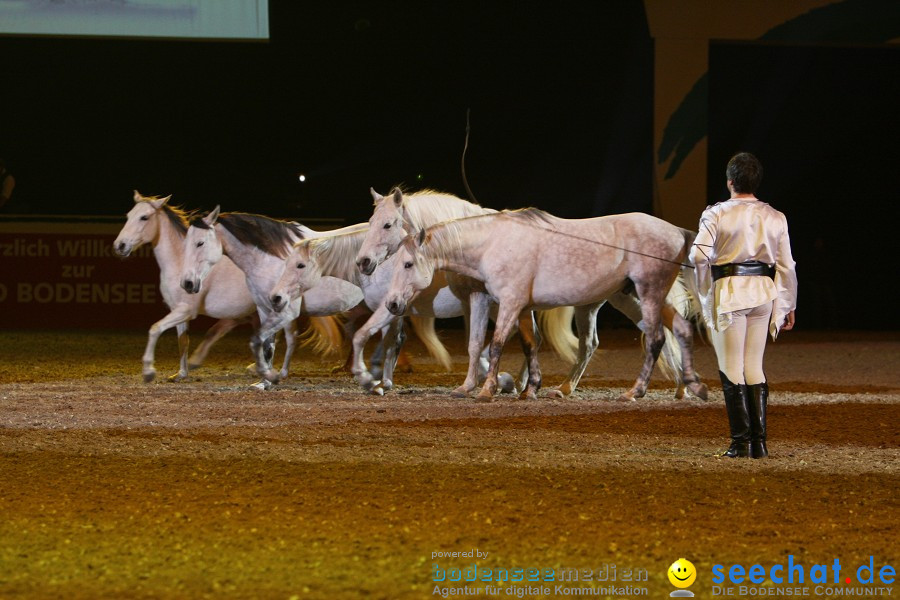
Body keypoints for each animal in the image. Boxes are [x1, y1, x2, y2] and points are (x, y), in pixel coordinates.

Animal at [112, 190, 260, 382]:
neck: (181, 263)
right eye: (129, 215)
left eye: (144, 217)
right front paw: (181, 373)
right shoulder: (177, 309)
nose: (119, 246)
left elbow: (155, 329)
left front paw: (149, 371)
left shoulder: (187, 309)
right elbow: (182, 340)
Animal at [358, 190, 696, 396]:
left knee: (654, 336)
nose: (363, 262)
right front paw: (520, 387)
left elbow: (495, 343)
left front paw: (494, 386)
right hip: (617, 300)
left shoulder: (501, 302)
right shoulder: (500, 302)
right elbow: (515, 342)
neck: (490, 242)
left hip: (642, 295)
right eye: (371, 221)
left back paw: (641, 390)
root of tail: (677, 231)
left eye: (387, 224)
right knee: (663, 331)